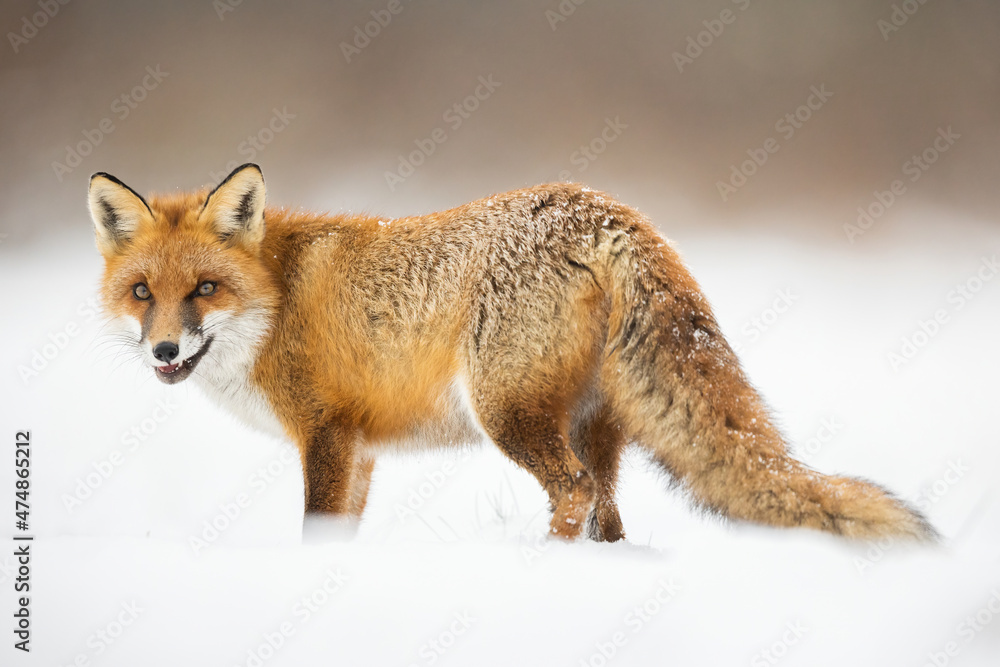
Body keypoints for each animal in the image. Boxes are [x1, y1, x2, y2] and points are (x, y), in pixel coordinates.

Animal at [87, 162, 938, 543]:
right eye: (142, 292)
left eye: (205, 288)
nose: (165, 348)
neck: (277, 298)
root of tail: (605, 208)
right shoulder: (359, 448)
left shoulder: (325, 433)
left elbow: (313, 531)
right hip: (595, 422)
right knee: (608, 509)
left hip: (507, 412)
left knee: (573, 491)